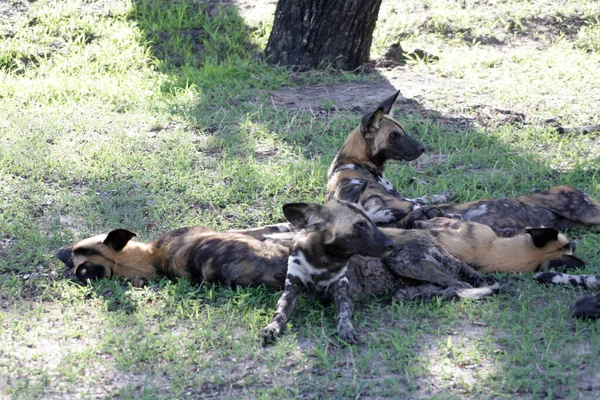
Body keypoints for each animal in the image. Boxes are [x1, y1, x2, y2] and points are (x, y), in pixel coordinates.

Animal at [264, 202, 396, 346]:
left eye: (370, 223)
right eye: (359, 225)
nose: (392, 244)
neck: (322, 262)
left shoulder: (341, 291)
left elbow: (344, 312)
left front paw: (346, 328)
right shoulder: (291, 290)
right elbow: (279, 312)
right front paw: (273, 327)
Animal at [328, 89, 454, 225]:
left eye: (403, 131)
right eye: (393, 135)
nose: (422, 148)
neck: (355, 160)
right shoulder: (403, 197)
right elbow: (427, 197)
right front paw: (445, 195)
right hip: (409, 204)